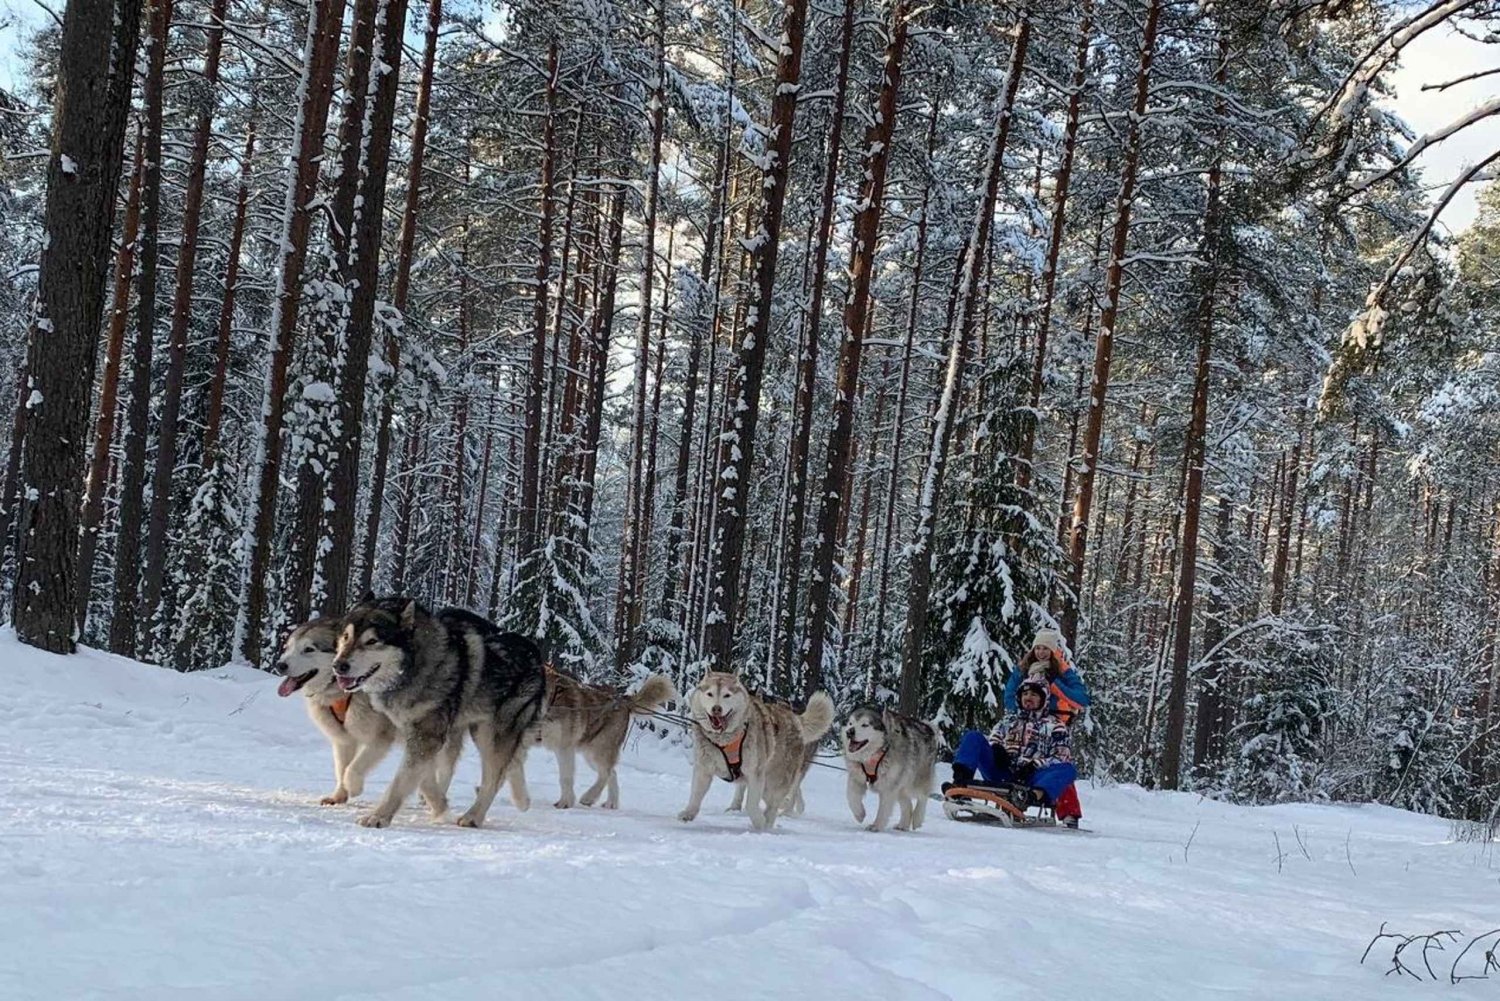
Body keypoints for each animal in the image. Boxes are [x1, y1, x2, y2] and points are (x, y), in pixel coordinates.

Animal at [273, 618, 396, 804]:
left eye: (308, 649)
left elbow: (352, 768)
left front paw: (354, 787)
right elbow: (342, 768)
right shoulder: (343, 739)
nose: (280, 665)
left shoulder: (380, 737)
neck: (341, 691)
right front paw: (339, 796)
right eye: (287, 648)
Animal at [328, 594, 546, 828]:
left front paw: (378, 816)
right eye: (346, 637)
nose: (338, 665)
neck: (417, 666)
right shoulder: (412, 734)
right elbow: (419, 777)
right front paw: (439, 805)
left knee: (494, 778)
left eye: (371, 641)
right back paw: (521, 799)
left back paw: (474, 816)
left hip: (492, 735)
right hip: (474, 731)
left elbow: (400, 780)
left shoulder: (426, 737)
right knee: (510, 766)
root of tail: (537, 655)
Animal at [678, 678, 834, 834]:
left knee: (779, 799)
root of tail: (795, 718)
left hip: (779, 778)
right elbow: (698, 793)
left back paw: (775, 818)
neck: (725, 740)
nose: (716, 709)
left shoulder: (754, 772)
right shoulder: (705, 767)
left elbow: (753, 802)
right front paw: (690, 813)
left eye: (727, 696)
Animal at [846, 702, 936, 834]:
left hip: (915, 780)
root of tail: (927, 727)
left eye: (865, 725)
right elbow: (851, 796)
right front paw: (860, 814)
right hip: (901, 787)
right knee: (908, 804)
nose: (849, 732)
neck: (874, 754)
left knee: (923, 796)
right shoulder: (857, 777)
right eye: (850, 723)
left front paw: (876, 826)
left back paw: (917, 819)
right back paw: (903, 825)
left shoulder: (889, 786)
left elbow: (883, 809)